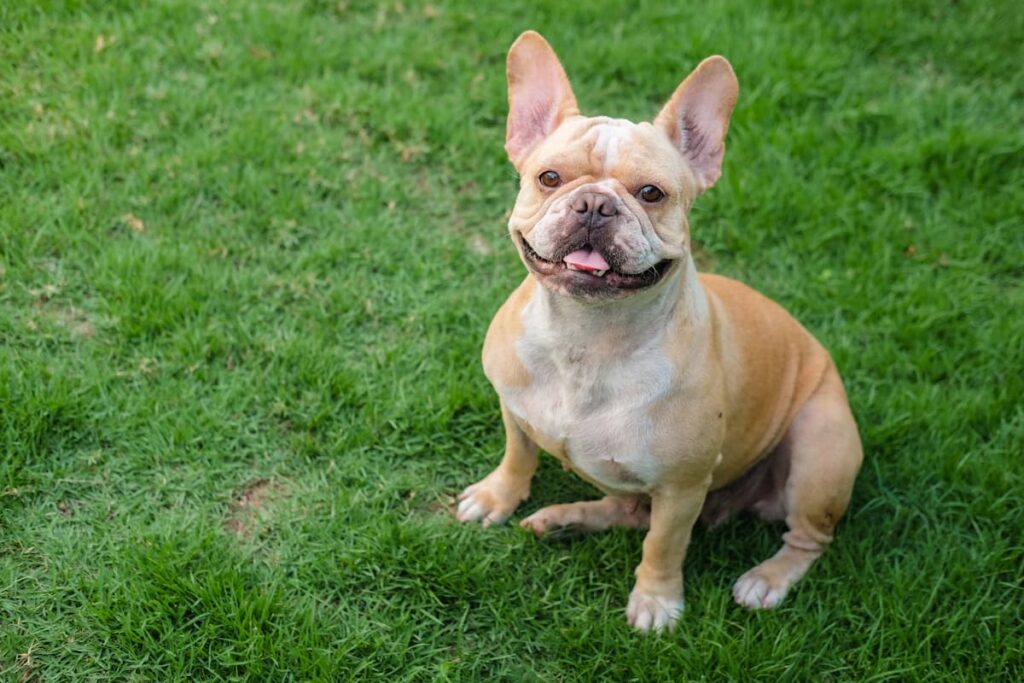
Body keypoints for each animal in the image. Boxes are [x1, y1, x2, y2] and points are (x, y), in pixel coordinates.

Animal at [456, 30, 864, 630]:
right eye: (549, 178)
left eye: (651, 193)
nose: (595, 204)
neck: (585, 340)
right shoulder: (515, 412)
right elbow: (518, 456)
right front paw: (498, 498)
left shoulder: (681, 488)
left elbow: (663, 546)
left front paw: (656, 601)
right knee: (627, 509)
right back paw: (566, 518)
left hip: (820, 452)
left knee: (807, 538)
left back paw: (766, 579)